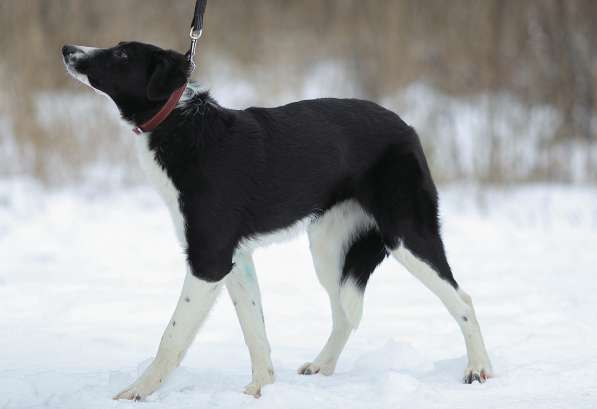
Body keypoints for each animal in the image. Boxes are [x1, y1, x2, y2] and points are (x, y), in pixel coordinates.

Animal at [62, 40, 494, 398]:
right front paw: (261, 388)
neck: (179, 123)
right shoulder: (236, 259)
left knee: (463, 299)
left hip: (407, 235)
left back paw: (478, 368)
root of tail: (407, 127)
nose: (67, 49)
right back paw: (322, 366)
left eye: (122, 54)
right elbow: (255, 330)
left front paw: (137, 392)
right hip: (327, 248)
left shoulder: (208, 261)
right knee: (343, 313)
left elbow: (172, 336)